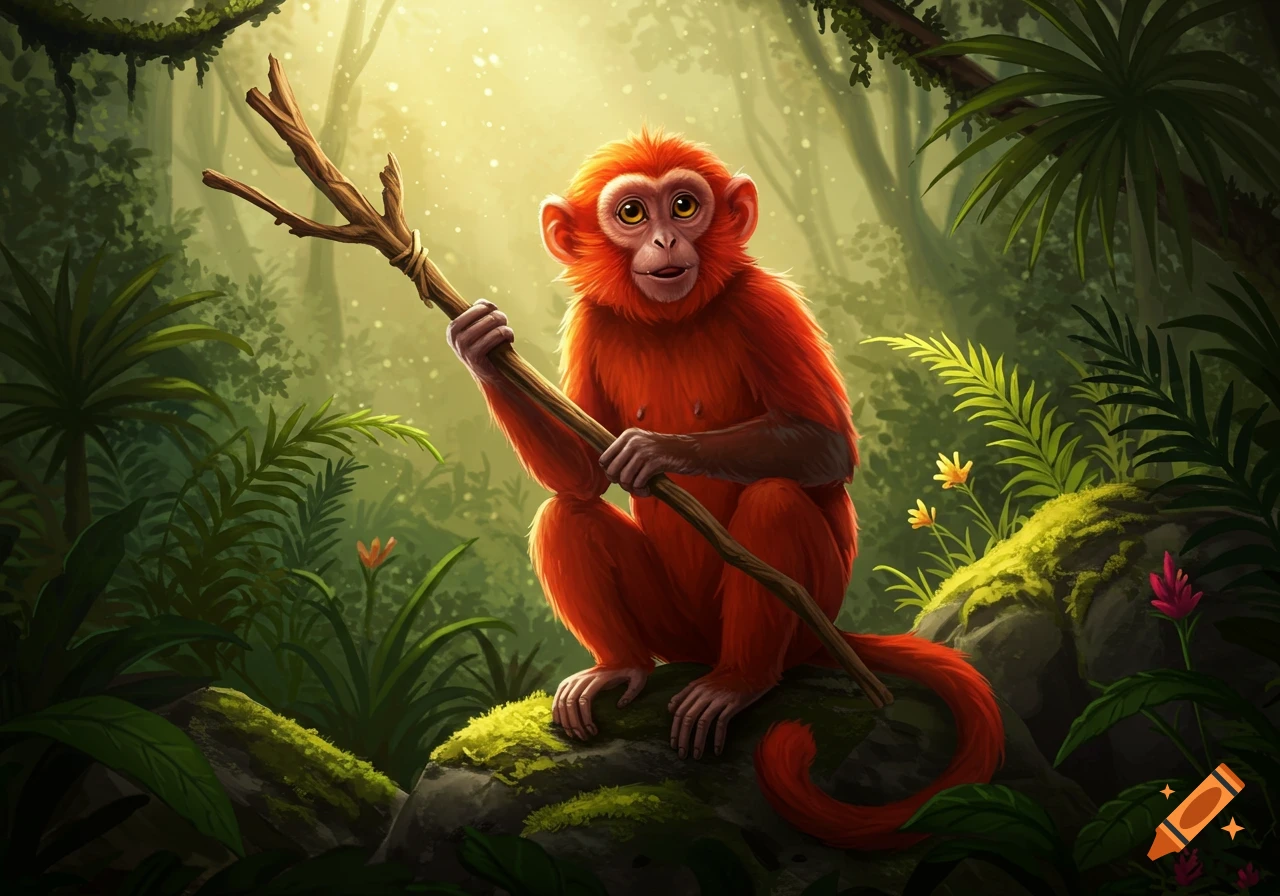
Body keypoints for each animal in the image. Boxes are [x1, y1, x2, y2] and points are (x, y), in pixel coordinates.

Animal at [446, 128, 1004, 849]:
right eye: (632, 213)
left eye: (684, 206)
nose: (664, 240)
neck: (670, 321)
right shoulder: (591, 319)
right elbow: (581, 476)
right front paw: (480, 346)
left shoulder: (766, 303)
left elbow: (828, 446)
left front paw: (656, 451)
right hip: (678, 633)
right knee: (565, 513)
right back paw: (621, 665)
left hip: (807, 616)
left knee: (775, 500)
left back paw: (740, 680)